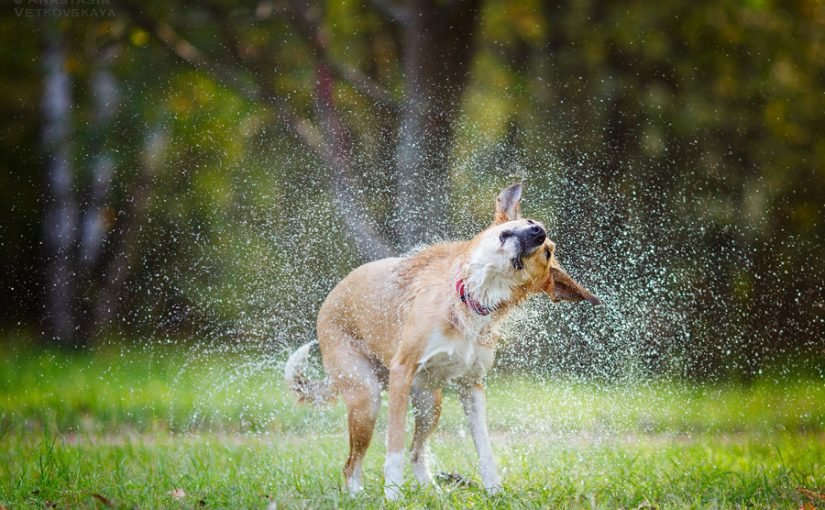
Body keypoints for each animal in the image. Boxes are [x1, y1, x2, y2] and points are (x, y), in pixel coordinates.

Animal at [284, 182, 600, 498]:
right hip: (367, 397)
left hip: (429, 403)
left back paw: (432, 491)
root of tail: (329, 301)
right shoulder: (402, 371)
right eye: (530, 222)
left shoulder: (472, 386)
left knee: (416, 452)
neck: (472, 298)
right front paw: (393, 496)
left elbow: (484, 447)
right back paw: (358, 496)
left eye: (547, 254)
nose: (539, 231)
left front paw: (494, 491)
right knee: (352, 464)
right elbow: (394, 447)